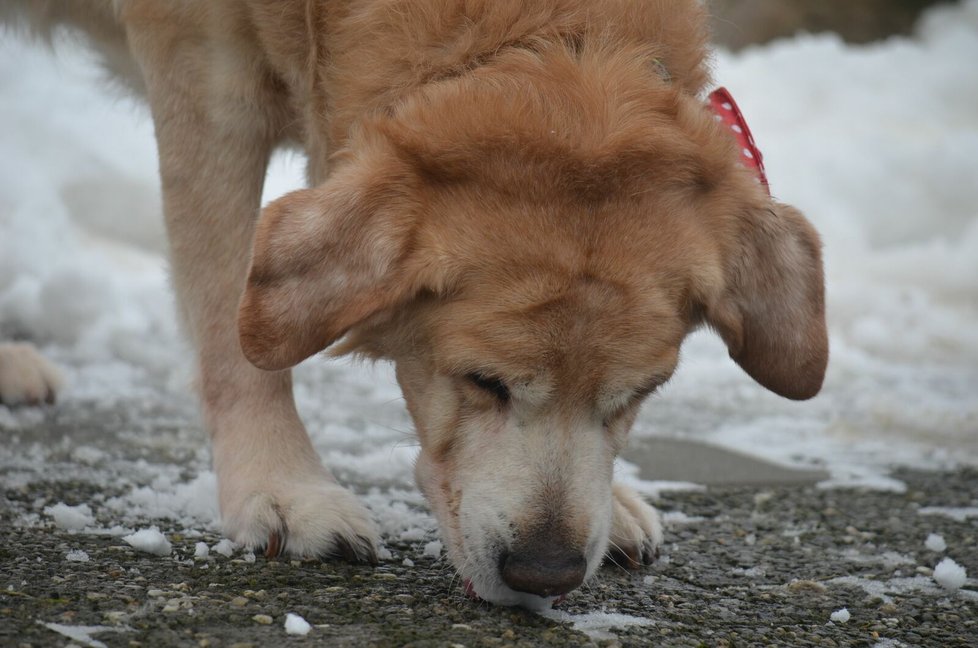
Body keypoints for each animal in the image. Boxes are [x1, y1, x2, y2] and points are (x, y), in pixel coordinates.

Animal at [0, 0, 824, 608]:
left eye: (638, 395)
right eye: (482, 383)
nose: (544, 574)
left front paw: (614, 498)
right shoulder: (204, 69)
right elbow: (231, 319)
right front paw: (282, 486)